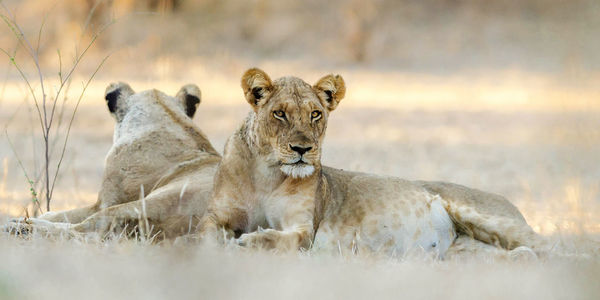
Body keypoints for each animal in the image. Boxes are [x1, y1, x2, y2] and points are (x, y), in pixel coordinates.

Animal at [4, 82, 221, 239]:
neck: (171, 119)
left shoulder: (105, 202)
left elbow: (65, 214)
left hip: (143, 206)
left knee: (80, 231)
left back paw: (20, 227)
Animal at [199, 68, 548, 258]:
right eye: (279, 113)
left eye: (316, 114)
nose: (302, 149)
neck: (267, 174)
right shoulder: (216, 216)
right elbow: (205, 235)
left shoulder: (304, 229)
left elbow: (278, 238)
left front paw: (249, 241)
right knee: (519, 255)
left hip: (486, 217)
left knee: (545, 246)